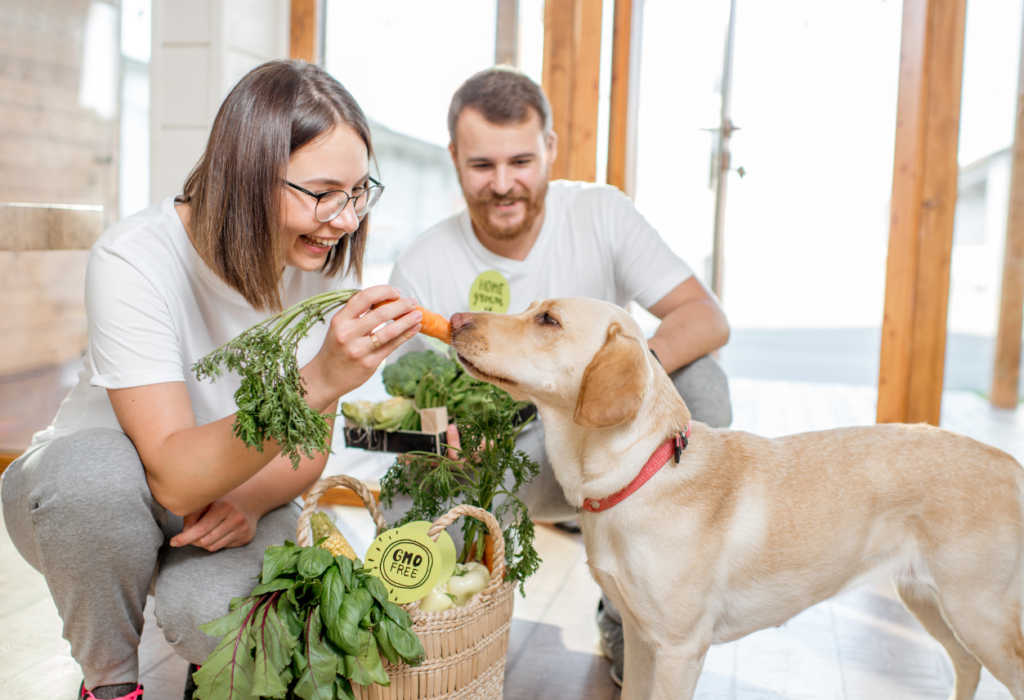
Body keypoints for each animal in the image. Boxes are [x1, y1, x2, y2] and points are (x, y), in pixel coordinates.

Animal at [452, 298, 1024, 700]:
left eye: (548, 319)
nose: (456, 318)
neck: (638, 473)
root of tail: (1007, 461)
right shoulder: (640, 639)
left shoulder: (680, 651)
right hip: (930, 602)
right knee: (966, 665)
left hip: (980, 615)